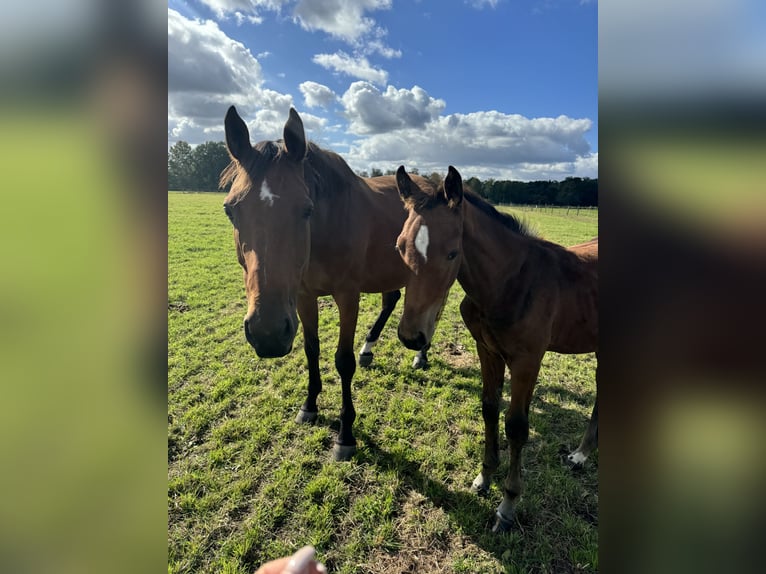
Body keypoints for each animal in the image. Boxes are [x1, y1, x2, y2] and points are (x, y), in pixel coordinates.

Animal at [220, 106, 432, 462]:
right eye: (230, 210)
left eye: (306, 209)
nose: (267, 334)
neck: (326, 228)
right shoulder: (303, 296)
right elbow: (311, 349)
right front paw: (309, 406)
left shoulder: (348, 296)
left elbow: (342, 361)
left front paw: (345, 435)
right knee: (390, 300)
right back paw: (369, 349)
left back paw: (421, 355)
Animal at [396, 164, 600, 532]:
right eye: (400, 247)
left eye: (452, 253)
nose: (411, 337)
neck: (510, 283)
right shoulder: (487, 350)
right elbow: (489, 408)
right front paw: (484, 477)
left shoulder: (527, 361)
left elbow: (516, 426)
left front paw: (507, 507)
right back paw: (581, 454)